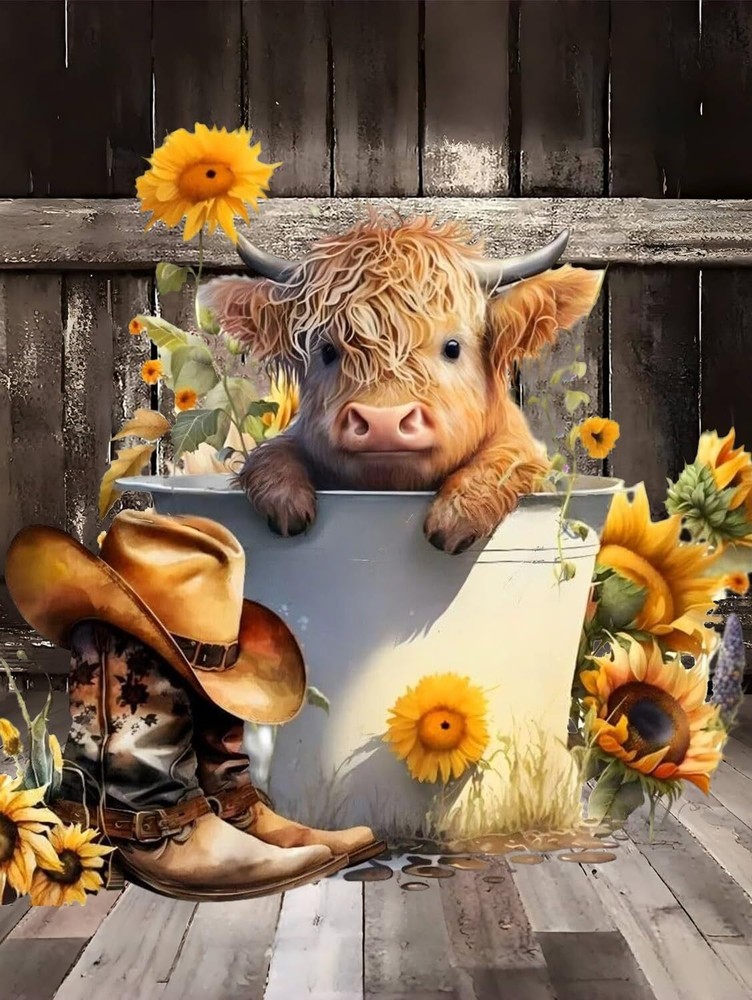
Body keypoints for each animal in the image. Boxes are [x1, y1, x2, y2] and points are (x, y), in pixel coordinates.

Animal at [198, 214, 604, 554]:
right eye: (327, 350)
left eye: (453, 347)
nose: (384, 423)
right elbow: (270, 452)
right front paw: (287, 506)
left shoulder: (525, 449)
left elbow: (508, 457)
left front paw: (454, 520)